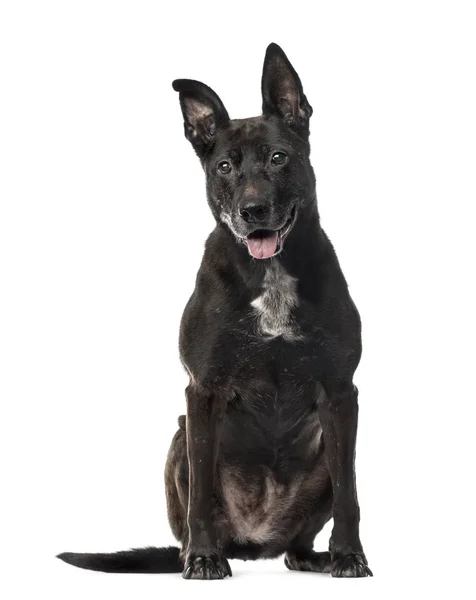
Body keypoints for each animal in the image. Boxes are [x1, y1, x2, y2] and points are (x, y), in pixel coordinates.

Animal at [58, 41, 372, 576]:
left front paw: (350, 555)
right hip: (180, 435)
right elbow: (202, 492)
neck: (269, 275)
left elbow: (349, 492)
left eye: (278, 157)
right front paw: (204, 559)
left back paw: (315, 557)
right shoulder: (201, 393)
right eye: (225, 166)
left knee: (302, 539)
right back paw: (195, 552)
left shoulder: (339, 393)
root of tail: (256, 544)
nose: (252, 211)